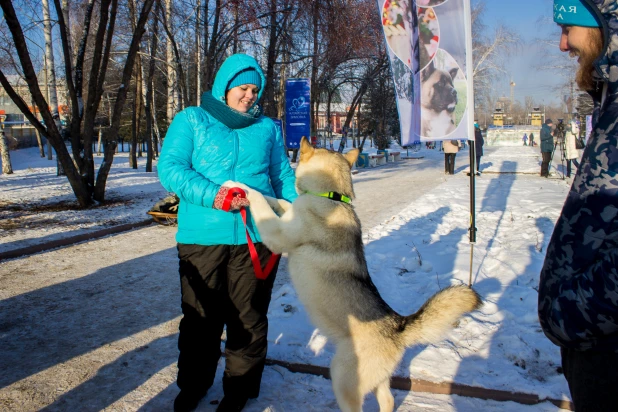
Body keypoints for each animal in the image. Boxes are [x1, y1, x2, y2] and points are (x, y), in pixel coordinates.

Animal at [224, 139, 478, 412]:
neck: (333, 197)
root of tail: (398, 326)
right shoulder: (288, 215)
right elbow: (279, 202)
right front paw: (254, 192)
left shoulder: (277, 234)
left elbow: (261, 202)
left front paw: (240, 188)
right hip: (376, 380)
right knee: (388, 399)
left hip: (342, 378)